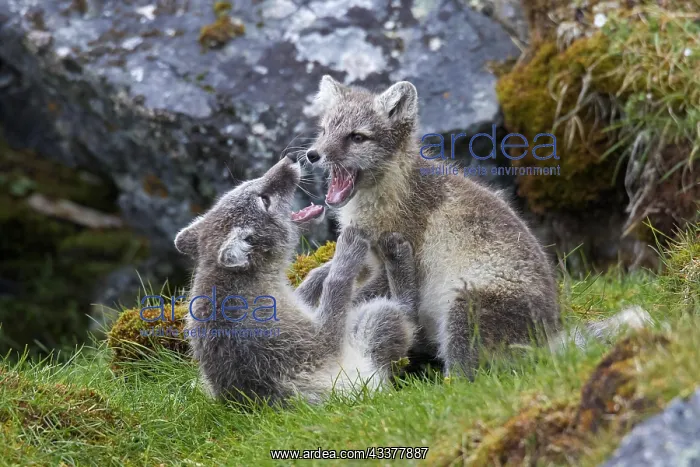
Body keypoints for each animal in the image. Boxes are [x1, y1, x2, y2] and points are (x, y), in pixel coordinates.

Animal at [173, 156, 419, 404]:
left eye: (248, 183)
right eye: (264, 200)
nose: (288, 159)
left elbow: (310, 283)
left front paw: (323, 270)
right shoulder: (317, 342)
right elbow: (337, 284)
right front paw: (347, 251)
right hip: (374, 324)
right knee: (404, 313)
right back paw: (395, 256)